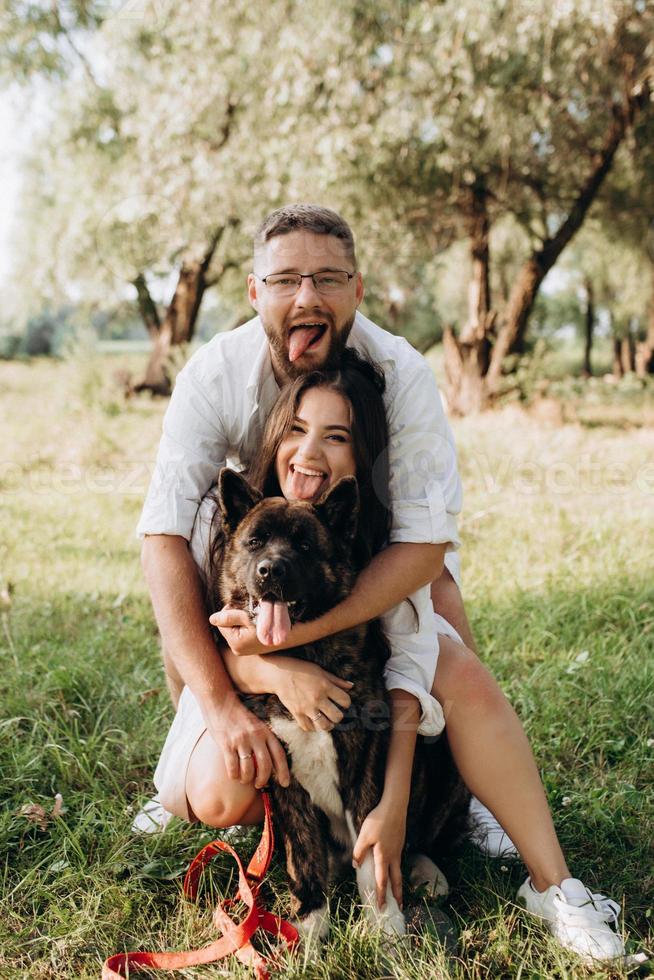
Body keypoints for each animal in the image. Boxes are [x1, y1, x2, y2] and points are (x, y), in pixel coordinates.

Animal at [213, 470, 468, 944]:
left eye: (304, 546)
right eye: (255, 542)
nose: (270, 569)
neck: (302, 657)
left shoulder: (364, 772)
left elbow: (375, 859)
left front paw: (387, 931)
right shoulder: (284, 781)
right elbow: (304, 859)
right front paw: (310, 929)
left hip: (446, 771)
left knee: (421, 841)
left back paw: (427, 871)